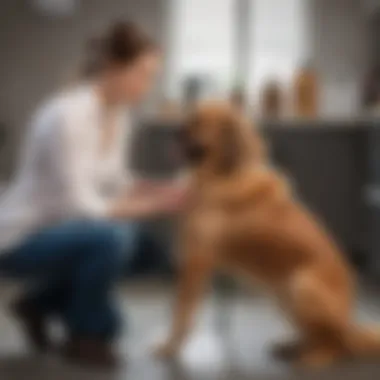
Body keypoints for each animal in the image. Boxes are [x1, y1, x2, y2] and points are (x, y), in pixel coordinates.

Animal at [155, 101, 380, 368]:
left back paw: (315, 356)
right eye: (189, 116)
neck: (222, 176)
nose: (174, 133)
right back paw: (292, 347)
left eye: (198, 122)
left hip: (302, 284)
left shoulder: (197, 262)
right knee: (314, 334)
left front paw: (169, 347)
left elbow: (181, 313)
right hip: (283, 297)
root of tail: (349, 326)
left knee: (335, 343)